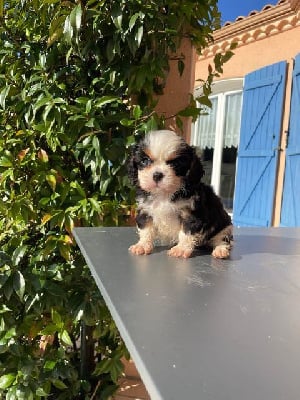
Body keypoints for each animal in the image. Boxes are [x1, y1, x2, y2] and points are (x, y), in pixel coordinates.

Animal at [127, 130, 233, 258]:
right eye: (144, 161)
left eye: (175, 164)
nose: (157, 175)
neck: (164, 194)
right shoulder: (145, 210)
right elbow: (146, 229)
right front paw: (142, 245)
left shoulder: (191, 214)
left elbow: (186, 232)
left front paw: (181, 248)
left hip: (224, 227)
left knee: (222, 239)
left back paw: (220, 250)